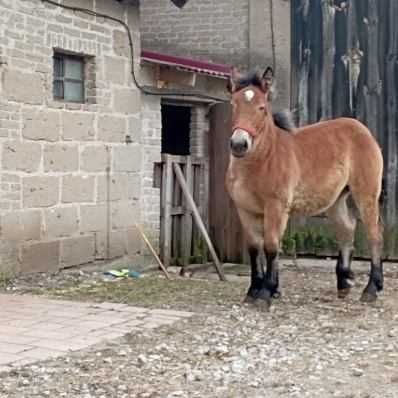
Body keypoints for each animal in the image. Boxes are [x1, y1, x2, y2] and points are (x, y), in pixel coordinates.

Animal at [227, 67, 386, 308]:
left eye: (262, 108)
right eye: (233, 104)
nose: (239, 144)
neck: (261, 161)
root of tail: (362, 128)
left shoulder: (276, 206)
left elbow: (271, 245)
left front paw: (265, 293)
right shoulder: (245, 210)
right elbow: (254, 248)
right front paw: (254, 291)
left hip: (366, 193)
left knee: (373, 233)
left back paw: (371, 289)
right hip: (336, 200)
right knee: (347, 229)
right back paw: (343, 283)